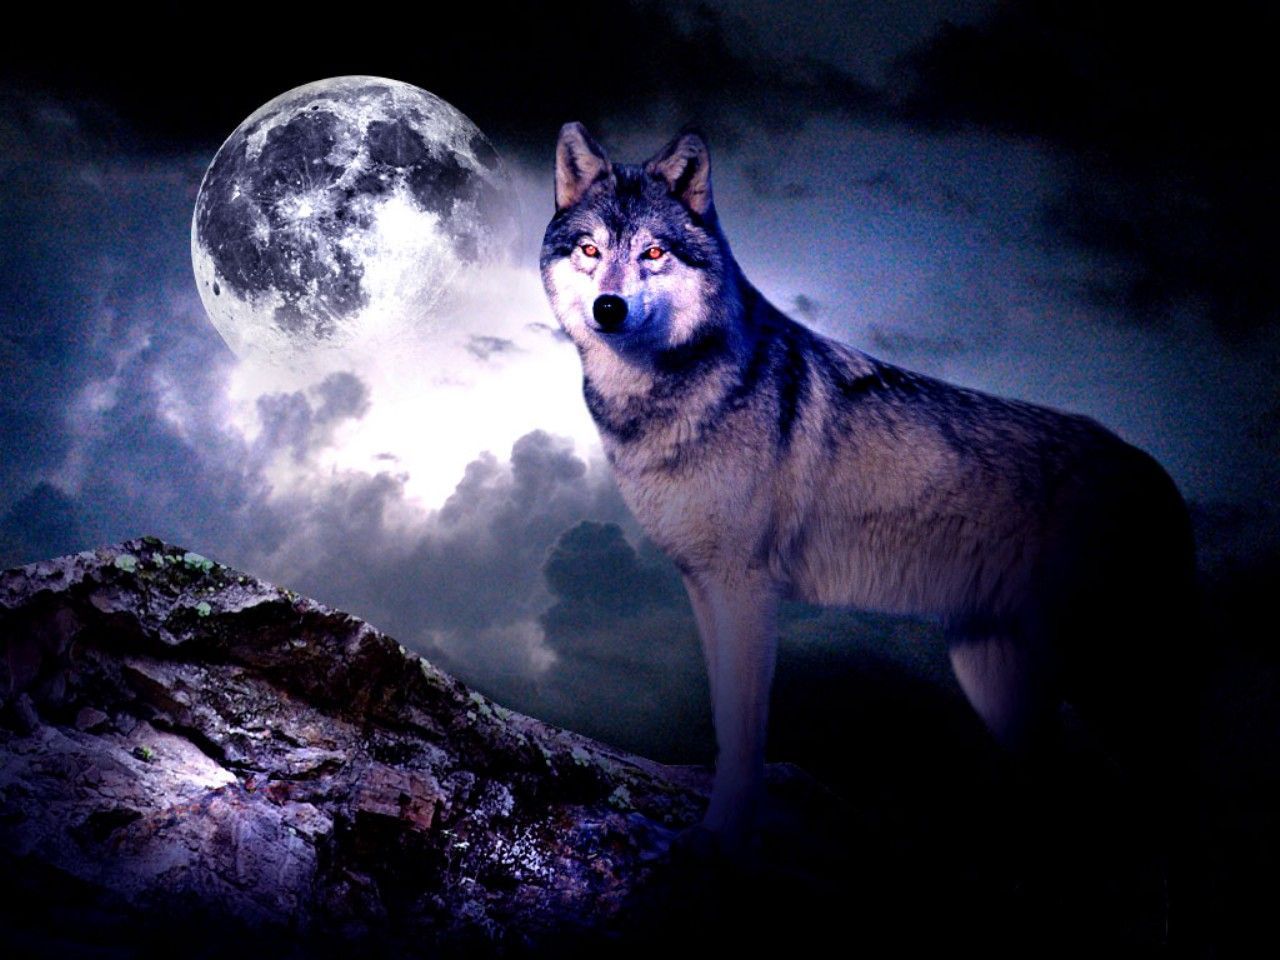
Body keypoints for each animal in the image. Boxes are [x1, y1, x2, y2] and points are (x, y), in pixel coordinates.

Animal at [538, 123, 1198, 872]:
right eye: (591, 250)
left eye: (652, 252)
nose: (609, 308)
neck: (668, 393)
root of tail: (1154, 470)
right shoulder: (702, 587)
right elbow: (723, 721)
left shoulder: (745, 589)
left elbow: (744, 733)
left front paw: (721, 841)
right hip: (996, 685)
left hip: (1109, 685)